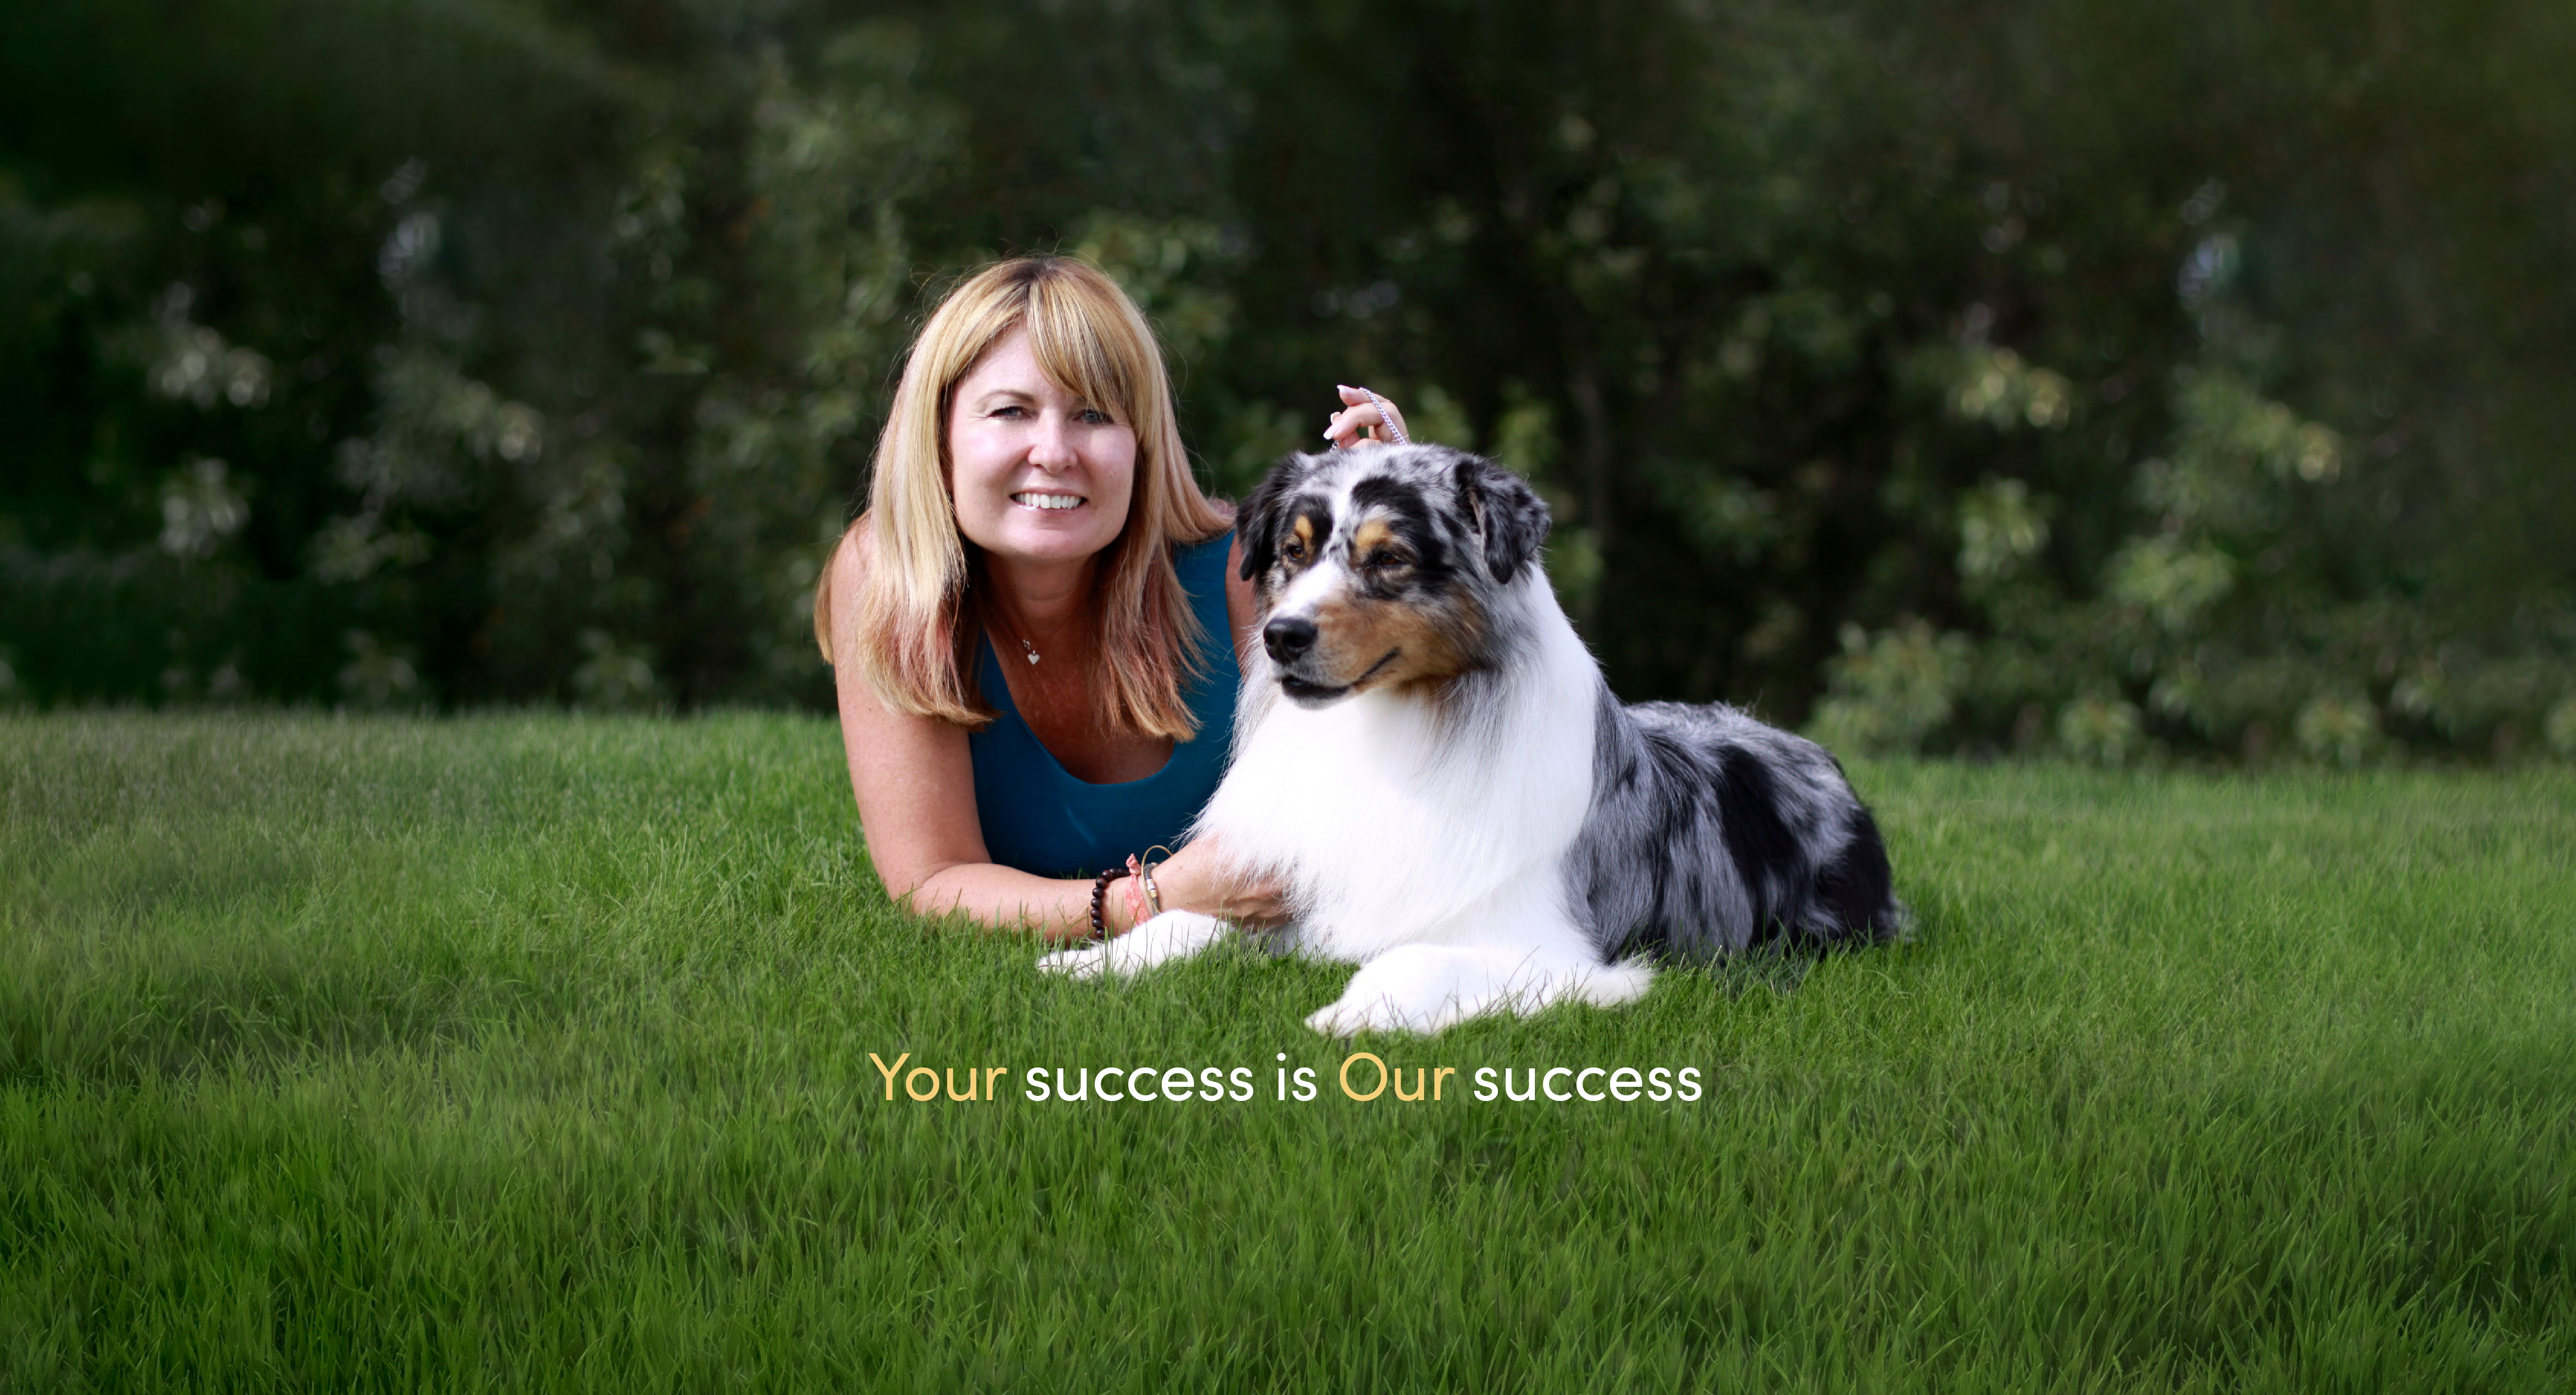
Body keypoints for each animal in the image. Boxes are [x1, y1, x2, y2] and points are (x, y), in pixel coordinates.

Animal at [1036, 448, 1906, 1040]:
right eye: (1293, 550)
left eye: (1389, 558)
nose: (1282, 637)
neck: (1394, 727)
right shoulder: (1308, 900)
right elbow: (1192, 920)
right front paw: (1092, 961)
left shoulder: (1563, 954)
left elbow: (1415, 956)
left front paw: (1353, 1013)